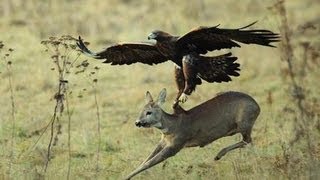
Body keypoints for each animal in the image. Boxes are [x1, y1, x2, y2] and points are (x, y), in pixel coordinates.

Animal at [125, 88, 260, 179]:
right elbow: (146, 159)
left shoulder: (176, 144)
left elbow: (148, 163)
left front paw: (126, 177)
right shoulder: (163, 141)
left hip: (244, 122)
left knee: (248, 140)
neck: (172, 126)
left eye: (149, 112)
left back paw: (219, 155)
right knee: (247, 141)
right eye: (141, 110)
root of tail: (258, 107)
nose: (137, 122)